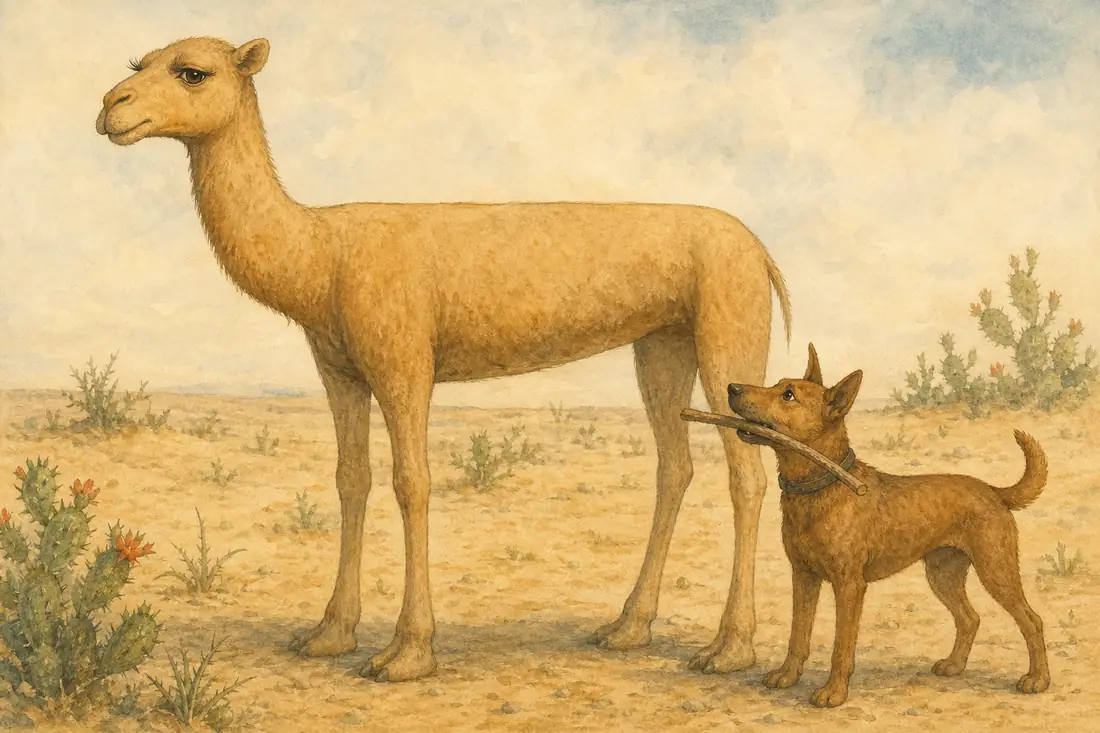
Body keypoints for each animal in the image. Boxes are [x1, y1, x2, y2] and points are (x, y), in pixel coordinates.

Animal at [95, 36, 793, 682]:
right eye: (138, 64)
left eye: (193, 72)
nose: (110, 107)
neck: (320, 255)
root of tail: (759, 249)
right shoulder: (339, 369)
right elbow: (351, 480)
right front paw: (327, 635)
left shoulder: (405, 361)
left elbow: (413, 483)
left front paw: (405, 654)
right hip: (662, 343)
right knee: (675, 467)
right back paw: (626, 629)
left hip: (729, 329)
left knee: (747, 476)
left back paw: (728, 650)